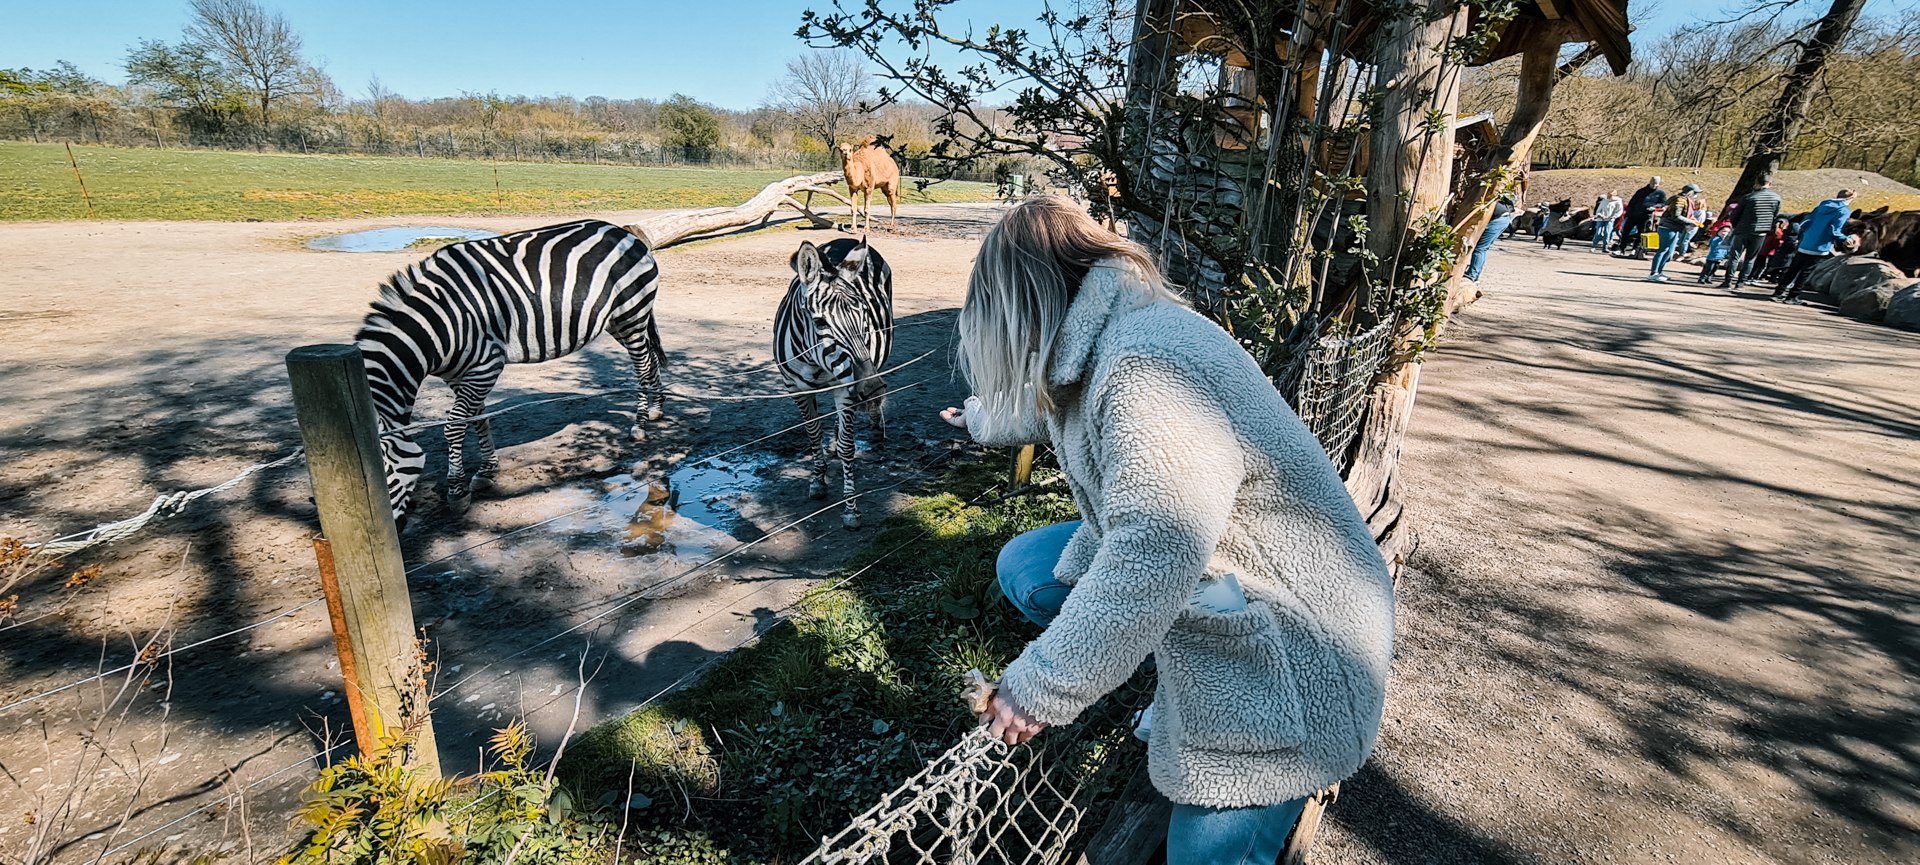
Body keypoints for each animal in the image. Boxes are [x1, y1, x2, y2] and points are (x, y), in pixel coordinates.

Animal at [353, 219, 666, 528]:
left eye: (382, 479)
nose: (393, 531)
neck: (438, 325)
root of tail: (624, 232)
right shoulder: (459, 373)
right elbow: (478, 419)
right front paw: (487, 470)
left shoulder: (486, 366)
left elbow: (455, 426)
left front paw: (457, 492)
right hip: (616, 322)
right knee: (650, 358)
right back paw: (657, 409)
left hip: (631, 315)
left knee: (641, 364)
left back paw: (639, 424)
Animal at [774, 237, 893, 529]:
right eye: (819, 322)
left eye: (864, 315)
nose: (873, 391)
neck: (816, 362)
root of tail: (846, 239)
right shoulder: (796, 390)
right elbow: (813, 435)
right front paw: (818, 481)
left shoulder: (847, 386)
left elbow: (848, 445)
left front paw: (851, 510)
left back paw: (875, 424)